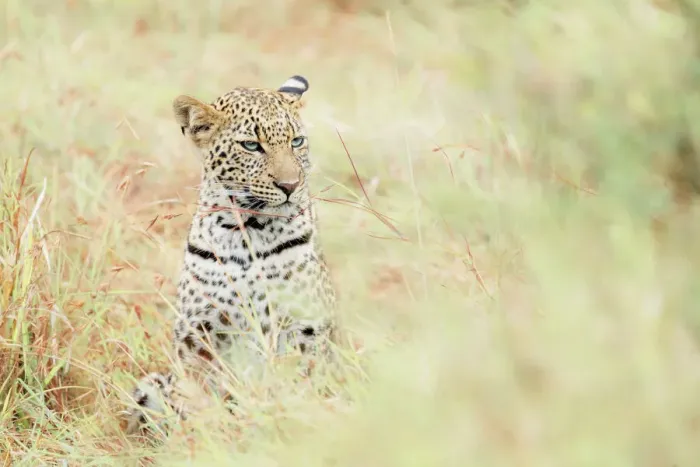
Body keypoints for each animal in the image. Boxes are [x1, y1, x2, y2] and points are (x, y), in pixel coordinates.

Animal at [124, 75, 338, 436]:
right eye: (251, 146)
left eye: (296, 142)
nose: (290, 185)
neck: (248, 230)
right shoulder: (198, 334)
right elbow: (198, 394)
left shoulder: (305, 325)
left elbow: (299, 380)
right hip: (151, 383)